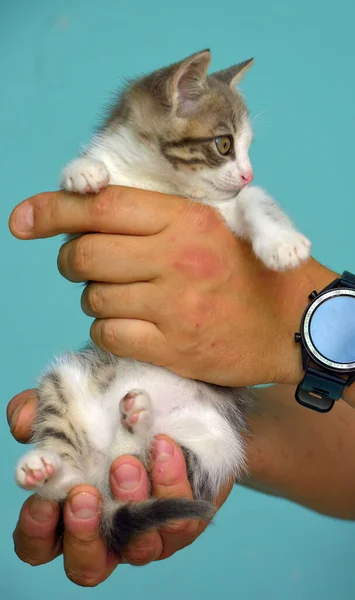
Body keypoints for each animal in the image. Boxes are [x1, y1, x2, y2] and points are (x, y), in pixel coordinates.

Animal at [15, 50, 310, 552]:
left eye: (248, 148)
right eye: (225, 144)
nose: (248, 171)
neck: (158, 181)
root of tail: (104, 466)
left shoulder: (225, 208)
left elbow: (255, 203)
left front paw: (282, 243)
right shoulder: (88, 236)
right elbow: (83, 184)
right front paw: (83, 172)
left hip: (216, 444)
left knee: (152, 456)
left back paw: (138, 418)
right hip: (63, 383)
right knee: (74, 483)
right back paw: (47, 468)